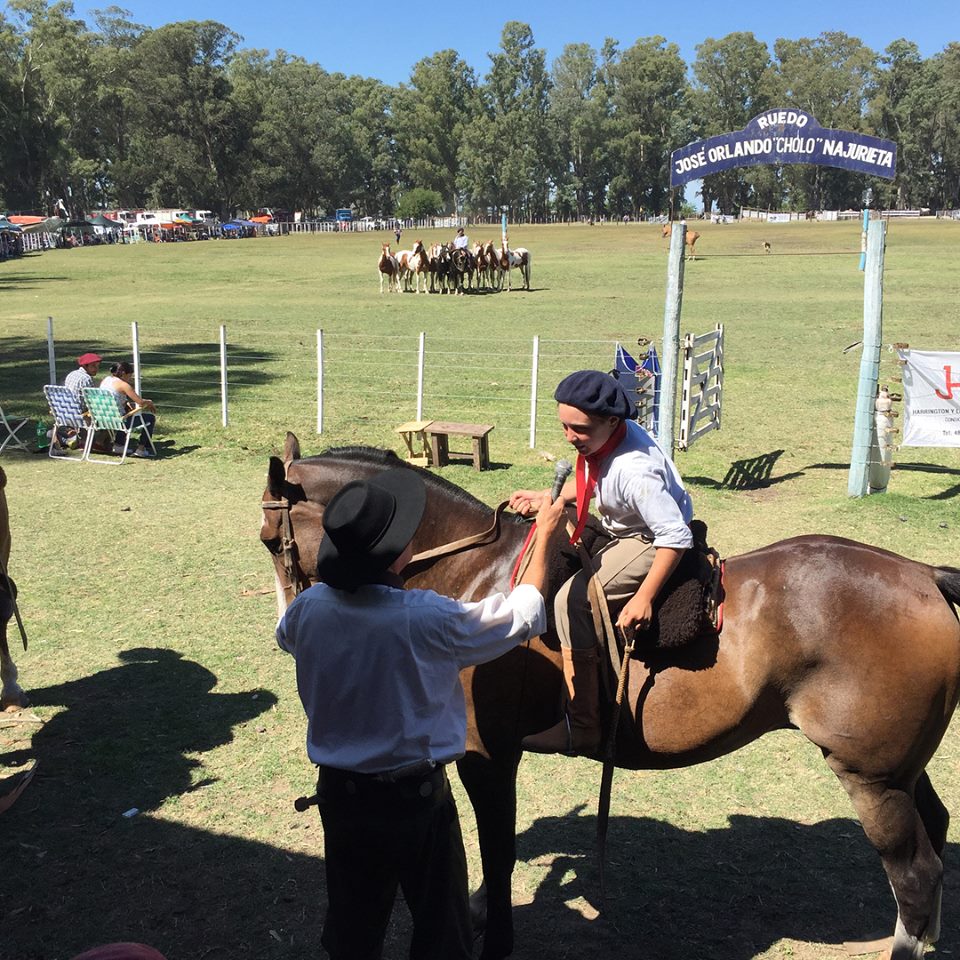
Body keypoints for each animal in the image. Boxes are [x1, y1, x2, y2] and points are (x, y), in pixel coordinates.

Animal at [260, 439, 960, 960]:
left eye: (271, 539)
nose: (286, 628)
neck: (480, 579)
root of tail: (924, 574)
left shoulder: (488, 757)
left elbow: (499, 850)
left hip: (870, 778)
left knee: (916, 873)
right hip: (900, 771)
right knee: (935, 835)